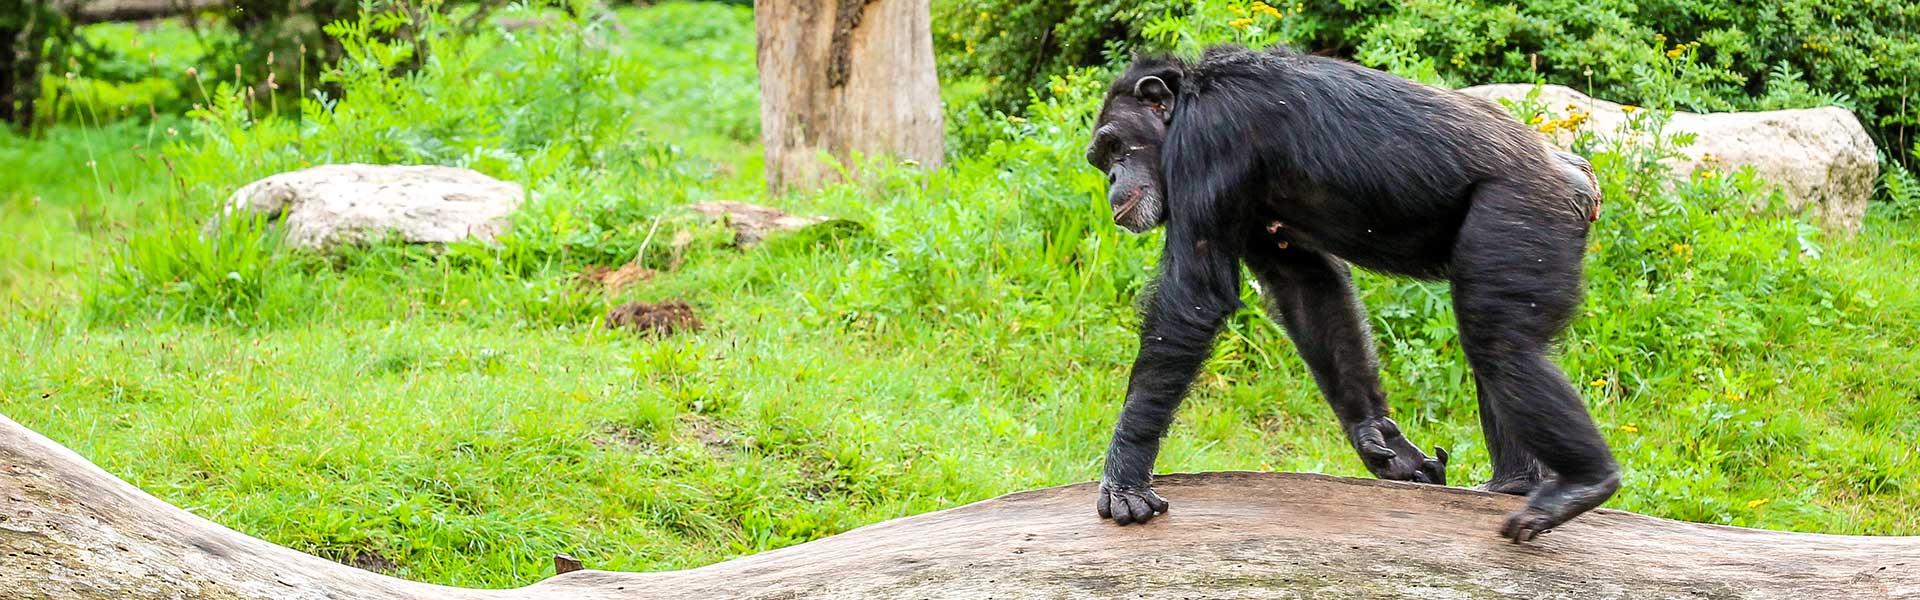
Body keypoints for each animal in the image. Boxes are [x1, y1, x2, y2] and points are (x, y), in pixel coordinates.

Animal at [1090, 45, 1612, 542]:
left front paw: (1126, 475)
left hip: (1521, 211)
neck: (1185, 107)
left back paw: (1583, 482)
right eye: (1102, 159)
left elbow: (1192, 297)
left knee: (1500, 344)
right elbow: (1307, 288)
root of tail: (1576, 176)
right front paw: (1379, 440)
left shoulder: (1208, 143)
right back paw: (1514, 484)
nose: (1112, 178)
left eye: (1114, 146)